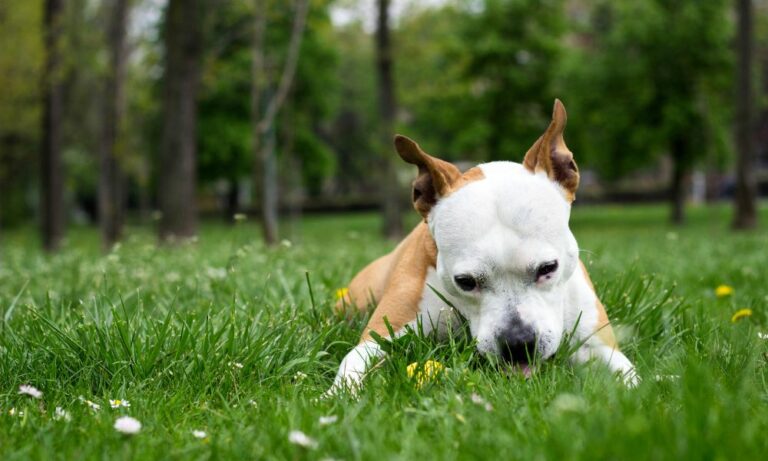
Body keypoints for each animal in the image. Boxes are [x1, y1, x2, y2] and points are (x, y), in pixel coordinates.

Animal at [330, 99, 636, 394]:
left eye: (548, 268)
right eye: (465, 282)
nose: (518, 343)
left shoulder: (599, 346)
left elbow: (630, 380)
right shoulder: (380, 335)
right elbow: (352, 362)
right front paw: (335, 396)